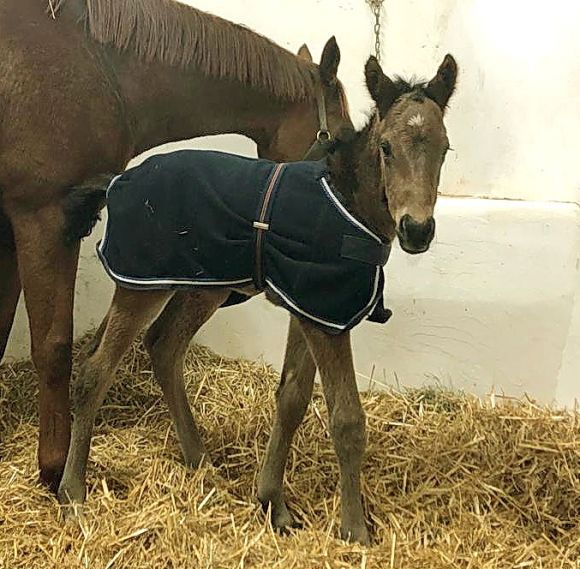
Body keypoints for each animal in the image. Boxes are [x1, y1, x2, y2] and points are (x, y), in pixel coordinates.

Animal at [59, 55, 458, 544]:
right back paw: (73, 491)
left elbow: (292, 397)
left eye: (445, 149)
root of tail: (119, 179)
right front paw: (355, 530)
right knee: (94, 370)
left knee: (164, 346)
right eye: (385, 147)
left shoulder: (311, 308)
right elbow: (346, 418)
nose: (416, 230)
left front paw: (273, 504)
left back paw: (199, 459)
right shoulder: (324, 316)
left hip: (202, 286)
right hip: (142, 284)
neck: (346, 202)